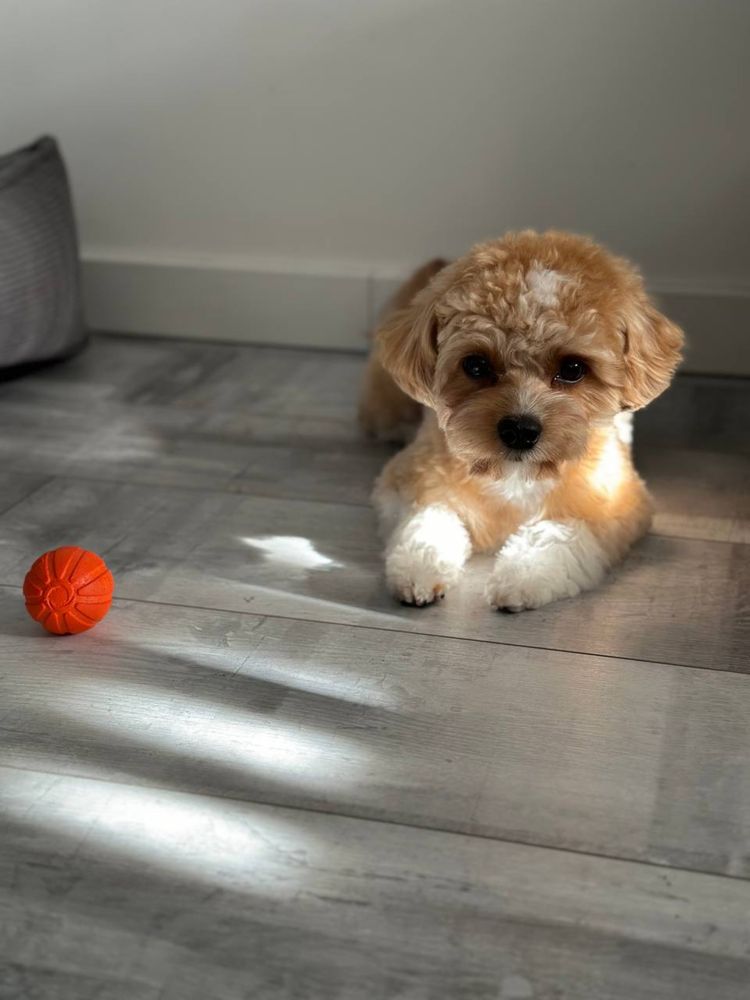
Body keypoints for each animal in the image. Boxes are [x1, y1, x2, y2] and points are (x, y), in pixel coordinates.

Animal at [359, 230, 684, 611]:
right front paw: (421, 569)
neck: (515, 476)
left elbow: (559, 535)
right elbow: (427, 522)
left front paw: (524, 575)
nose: (519, 430)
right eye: (475, 365)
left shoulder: (616, 505)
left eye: (573, 368)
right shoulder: (409, 479)